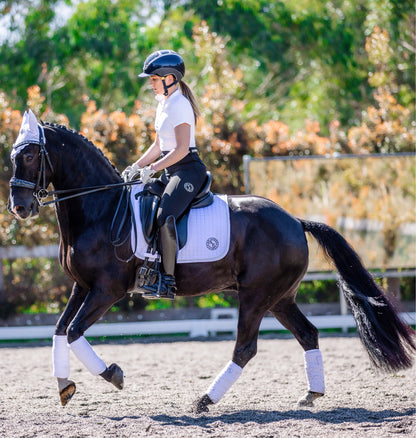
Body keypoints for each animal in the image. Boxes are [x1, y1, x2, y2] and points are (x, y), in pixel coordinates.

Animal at [8, 115, 414, 410]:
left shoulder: (107, 290)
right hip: (280, 298)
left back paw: (204, 400)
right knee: (308, 334)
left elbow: (75, 332)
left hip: (255, 296)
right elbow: (60, 330)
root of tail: (295, 221)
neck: (102, 209)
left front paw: (113, 375)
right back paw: (311, 395)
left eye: (28, 156)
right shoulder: (83, 286)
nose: (19, 208)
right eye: (14, 156)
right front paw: (65, 387)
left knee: (245, 348)